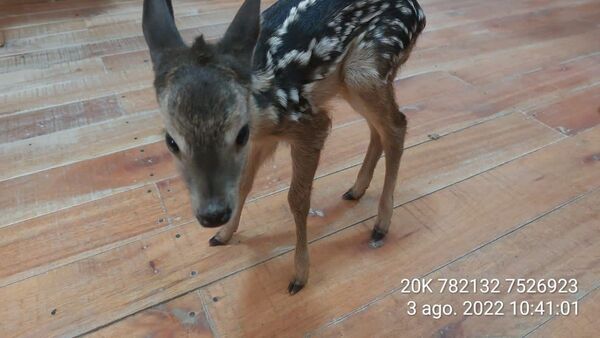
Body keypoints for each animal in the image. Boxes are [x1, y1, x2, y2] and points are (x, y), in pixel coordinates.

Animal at [144, 0, 426, 294]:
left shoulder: (309, 125)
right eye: (171, 141)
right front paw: (223, 235)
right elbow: (243, 185)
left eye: (240, 133)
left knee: (396, 125)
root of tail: (418, 10)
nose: (213, 215)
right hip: (351, 81)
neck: (260, 109)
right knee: (378, 129)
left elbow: (297, 199)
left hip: (366, 68)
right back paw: (356, 190)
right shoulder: (262, 141)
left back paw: (381, 224)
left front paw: (300, 274)